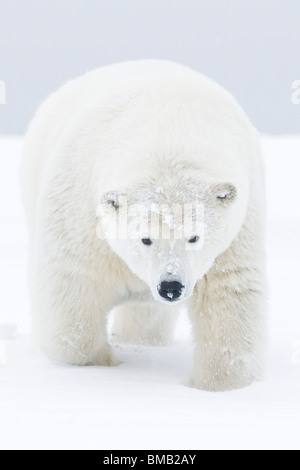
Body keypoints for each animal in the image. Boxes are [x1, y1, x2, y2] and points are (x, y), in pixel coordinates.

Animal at [20, 60, 264, 392]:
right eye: (145, 238)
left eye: (195, 237)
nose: (171, 286)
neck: (169, 133)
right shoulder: (82, 212)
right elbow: (74, 292)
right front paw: (101, 365)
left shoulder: (237, 231)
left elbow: (228, 293)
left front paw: (215, 385)